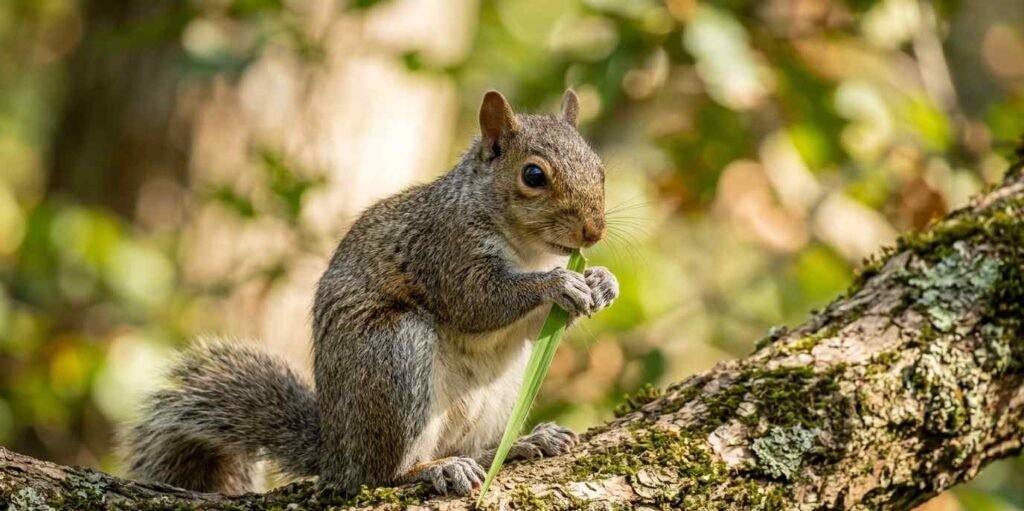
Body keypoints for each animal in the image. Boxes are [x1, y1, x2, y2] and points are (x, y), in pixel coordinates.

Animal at [119, 89, 619, 497]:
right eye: (533, 175)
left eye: (600, 170)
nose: (593, 232)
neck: (529, 251)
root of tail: (337, 456)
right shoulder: (443, 251)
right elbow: (478, 302)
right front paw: (558, 284)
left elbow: (535, 328)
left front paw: (601, 281)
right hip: (394, 354)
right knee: (382, 474)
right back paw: (434, 469)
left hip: (500, 389)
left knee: (477, 447)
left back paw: (521, 443)